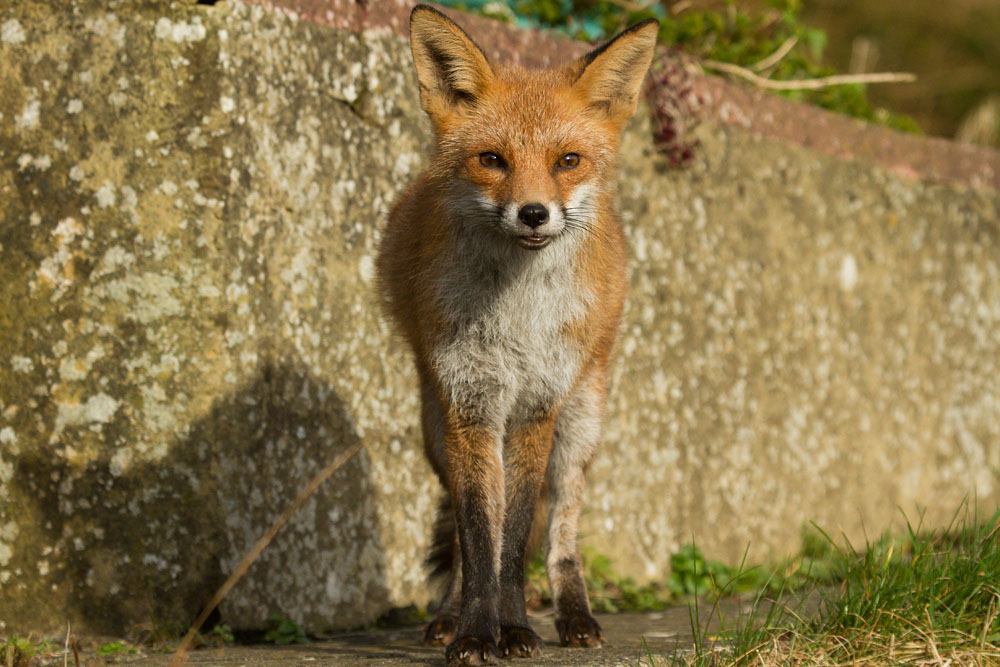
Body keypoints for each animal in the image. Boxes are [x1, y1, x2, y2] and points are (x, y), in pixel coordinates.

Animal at [376, 6, 658, 665]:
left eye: (568, 161)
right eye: (492, 160)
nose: (533, 213)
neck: (519, 322)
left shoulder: (537, 407)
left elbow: (515, 537)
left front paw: (514, 629)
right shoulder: (471, 405)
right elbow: (481, 536)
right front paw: (478, 633)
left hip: (581, 423)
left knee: (561, 534)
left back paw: (574, 615)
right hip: (434, 427)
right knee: (462, 530)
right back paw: (450, 615)